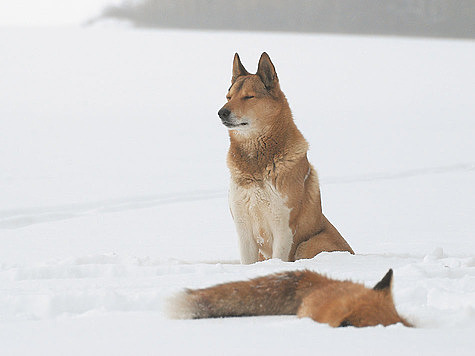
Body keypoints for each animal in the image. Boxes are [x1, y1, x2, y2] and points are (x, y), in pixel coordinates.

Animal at [218, 53, 354, 264]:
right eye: (228, 97)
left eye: (249, 96)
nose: (221, 112)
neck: (257, 163)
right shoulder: (243, 228)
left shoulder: (283, 228)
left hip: (308, 244)